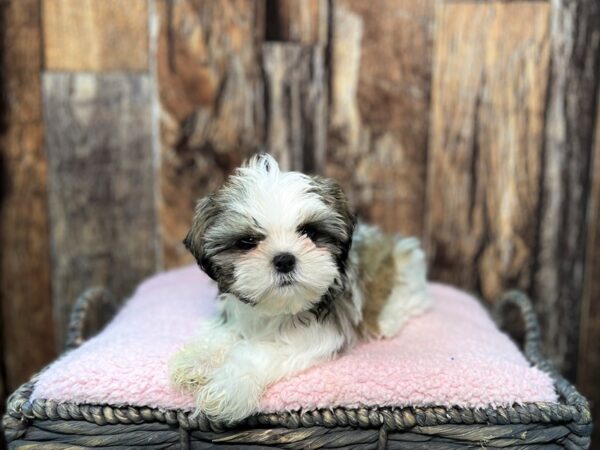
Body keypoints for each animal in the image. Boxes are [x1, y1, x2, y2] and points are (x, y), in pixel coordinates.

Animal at [170, 154, 432, 422]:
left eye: (309, 231)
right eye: (248, 242)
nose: (285, 259)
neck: (277, 308)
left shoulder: (314, 336)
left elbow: (256, 355)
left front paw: (228, 387)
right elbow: (223, 332)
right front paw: (197, 360)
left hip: (406, 269)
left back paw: (387, 321)